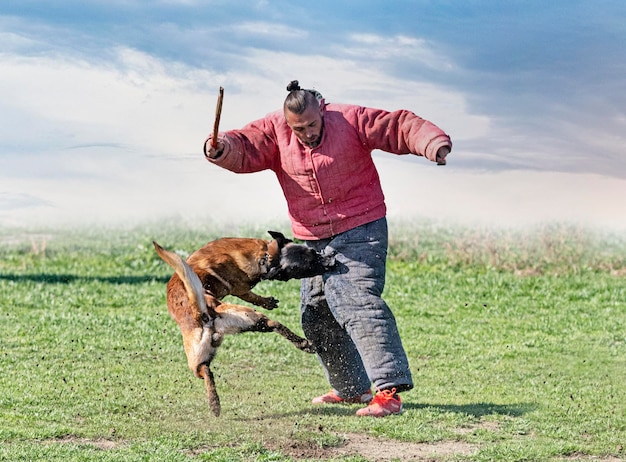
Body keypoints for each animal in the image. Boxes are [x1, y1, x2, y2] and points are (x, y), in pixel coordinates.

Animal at [152, 233, 334, 416]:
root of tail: (201, 312)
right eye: (309, 263)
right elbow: (248, 293)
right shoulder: (239, 286)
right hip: (243, 317)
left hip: (206, 351)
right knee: (273, 323)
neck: (266, 254)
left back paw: (214, 403)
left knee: (207, 371)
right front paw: (266, 300)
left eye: (313, 252)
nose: (332, 261)